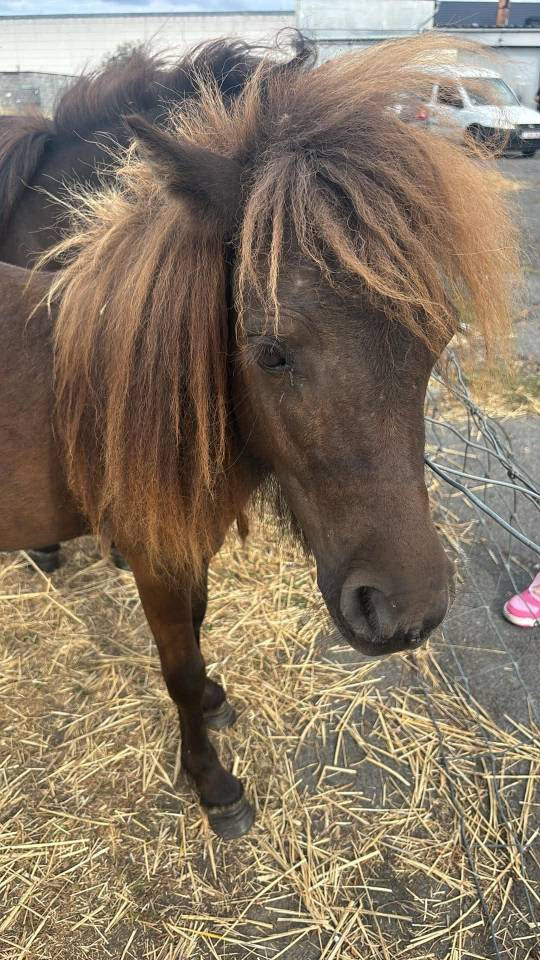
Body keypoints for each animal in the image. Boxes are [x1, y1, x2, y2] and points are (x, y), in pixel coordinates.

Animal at [0, 34, 517, 838]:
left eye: (435, 339)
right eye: (270, 351)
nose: (405, 612)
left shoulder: (190, 548)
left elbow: (199, 632)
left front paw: (217, 704)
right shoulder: (156, 556)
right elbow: (178, 670)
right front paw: (213, 784)